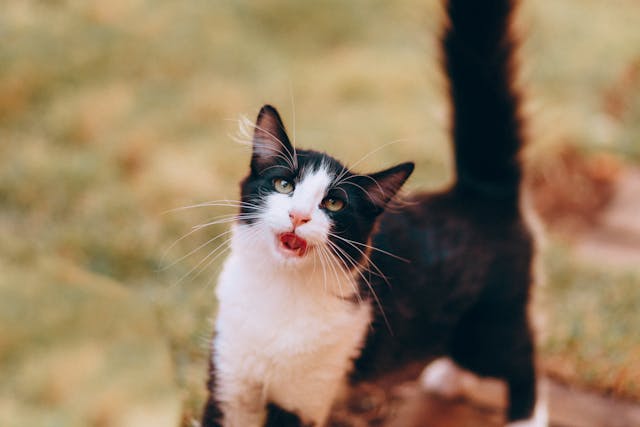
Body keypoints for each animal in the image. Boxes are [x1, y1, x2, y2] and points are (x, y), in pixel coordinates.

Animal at [200, 0, 544, 426]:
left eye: (334, 204)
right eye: (284, 185)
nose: (299, 215)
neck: (281, 291)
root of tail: (477, 193)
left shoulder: (303, 397)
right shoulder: (230, 381)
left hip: (489, 325)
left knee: (522, 361)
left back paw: (526, 417)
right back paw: (446, 377)